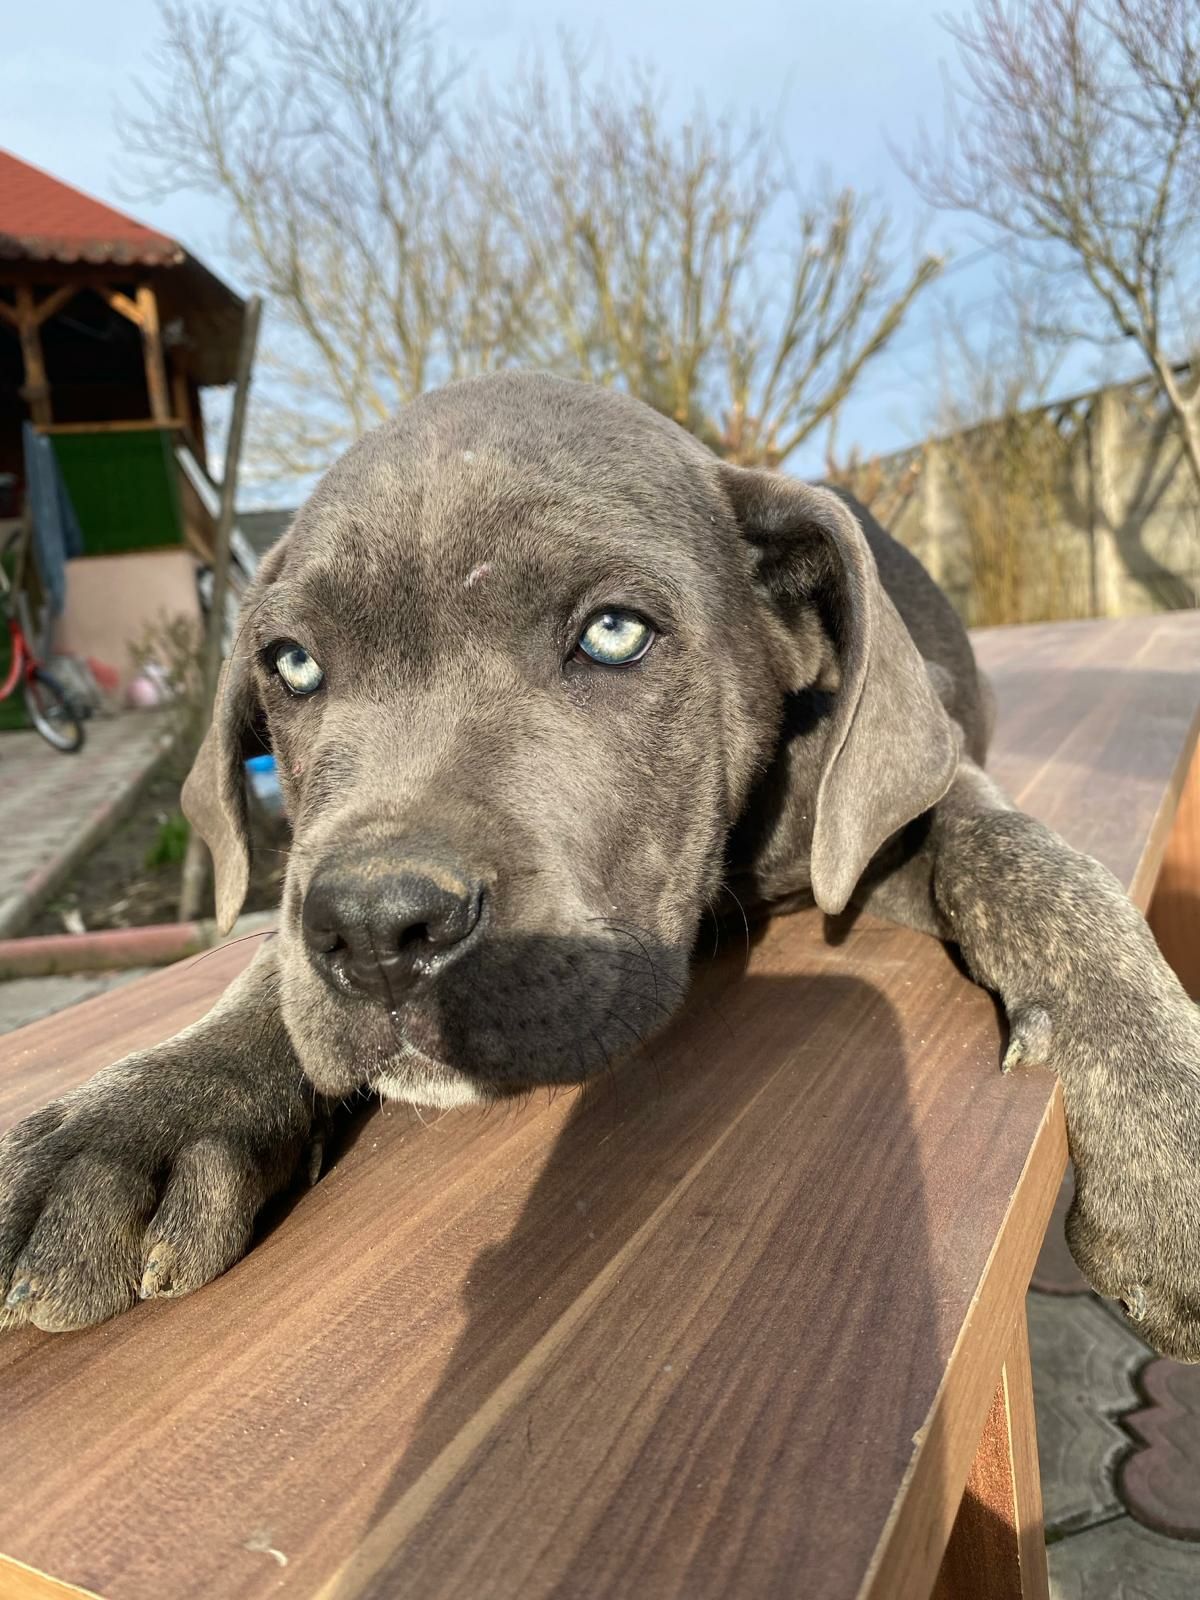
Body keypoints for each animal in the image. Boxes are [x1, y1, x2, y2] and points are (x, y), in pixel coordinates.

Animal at [2, 377, 1200, 1363]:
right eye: (291, 665)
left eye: (616, 632)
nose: (377, 928)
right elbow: (266, 972)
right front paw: (133, 1122)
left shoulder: (880, 806)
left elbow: (1034, 860)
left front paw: (1165, 1123)